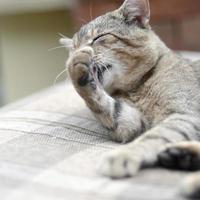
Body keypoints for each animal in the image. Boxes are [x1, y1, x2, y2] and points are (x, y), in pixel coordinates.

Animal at [60, 0, 200, 197]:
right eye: (73, 48)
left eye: (98, 38)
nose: (77, 51)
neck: (135, 89)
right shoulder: (132, 123)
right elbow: (104, 106)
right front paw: (76, 68)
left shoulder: (185, 113)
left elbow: (155, 135)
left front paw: (123, 155)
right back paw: (181, 156)